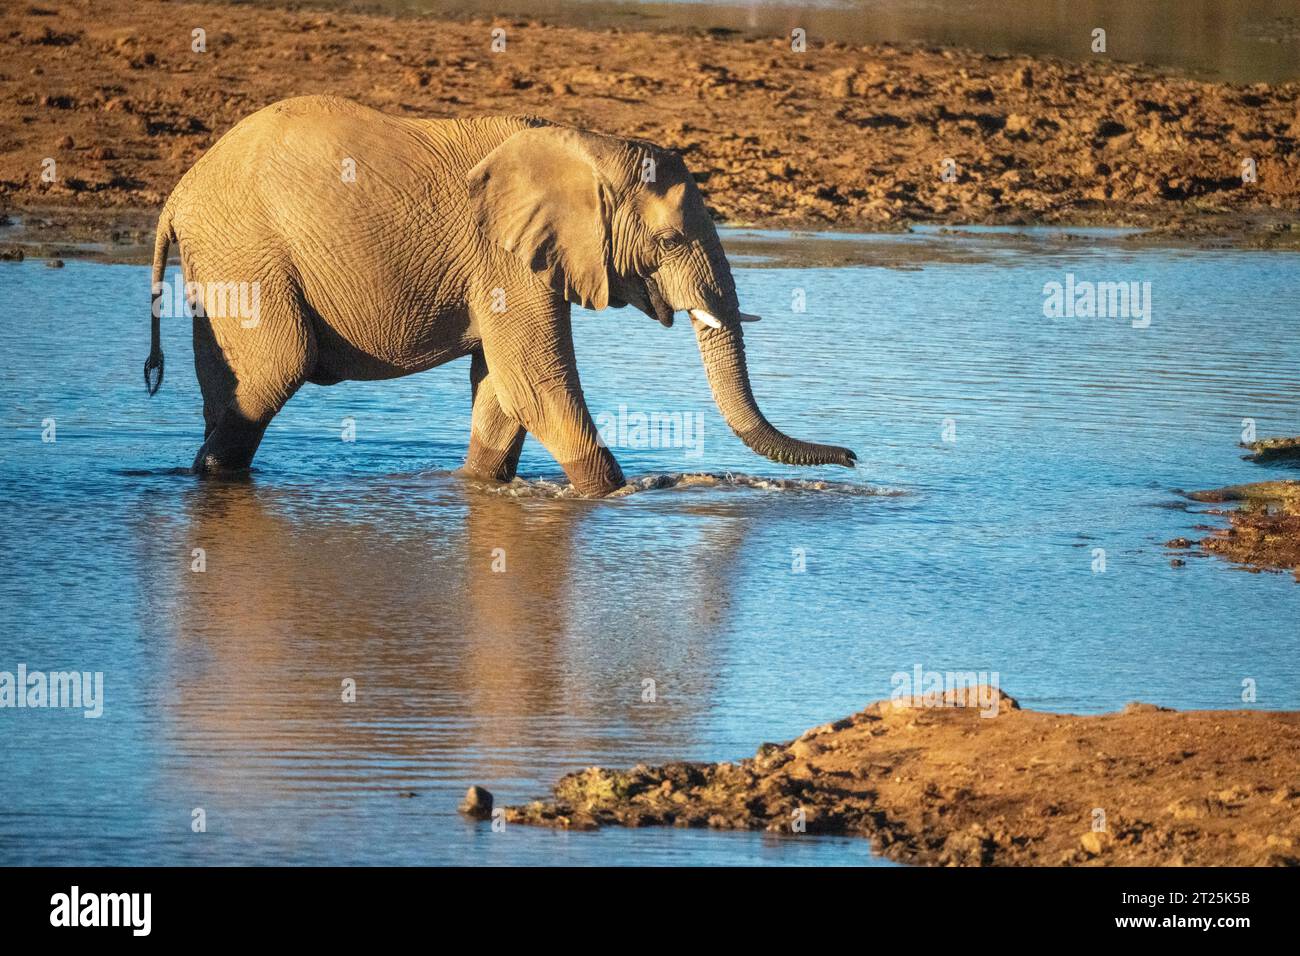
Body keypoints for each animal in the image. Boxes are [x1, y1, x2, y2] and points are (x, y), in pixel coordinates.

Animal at [144, 96, 852, 496]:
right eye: (671, 238)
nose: (849, 457)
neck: (591, 146)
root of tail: (178, 192)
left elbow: (502, 392)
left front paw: (477, 487)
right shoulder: (505, 255)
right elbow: (536, 385)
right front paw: (613, 498)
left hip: (223, 258)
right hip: (246, 249)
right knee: (274, 371)